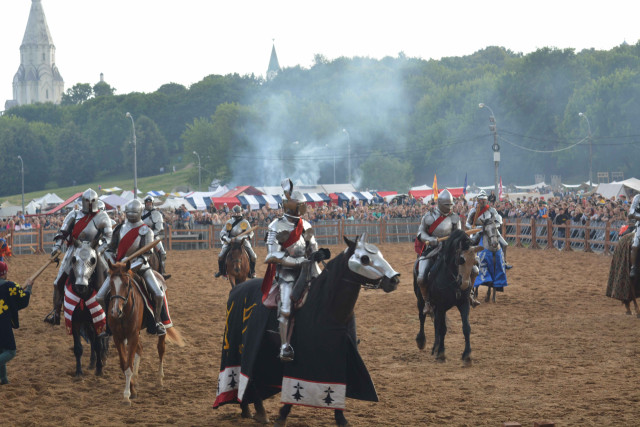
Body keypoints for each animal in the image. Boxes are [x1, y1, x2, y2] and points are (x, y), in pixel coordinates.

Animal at [67, 237, 109, 378]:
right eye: (73, 259)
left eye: (93, 260)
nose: (81, 286)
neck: (83, 296)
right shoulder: (75, 321)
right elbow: (78, 348)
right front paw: (79, 372)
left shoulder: (97, 319)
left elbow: (98, 344)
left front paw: (99, 369)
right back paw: (92, 361)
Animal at [105, 260, 184, 404]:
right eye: (111, 284)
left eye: (126, 284)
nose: (115, 311)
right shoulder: (118, 337)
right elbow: (124, 364)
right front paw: (131, 389)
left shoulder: (132, 335)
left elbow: (129, 365)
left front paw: (127, 395)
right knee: (140, 349)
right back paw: (136, 379)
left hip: (161, 324)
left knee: (161, 349)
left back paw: (159, 379)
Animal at [212, 236, 398, 426]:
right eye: (364, 259)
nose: (394, 279)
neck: (327, 306)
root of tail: (236, 289)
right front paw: (282, 416)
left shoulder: (340, 354)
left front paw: (341, 418)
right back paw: (256, 410)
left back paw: (252, 410)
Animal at [412, 231, 482, 364]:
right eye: (461, 260)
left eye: (475, 261)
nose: (464, 284)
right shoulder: (441, 306)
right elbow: (443, 328)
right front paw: (441, 353)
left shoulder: (463, 303)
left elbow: (466, 327)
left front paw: (467, 355)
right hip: (421, 299)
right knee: (422, 316)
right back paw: (421, 341)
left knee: (436, 323)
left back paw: (435, 347)